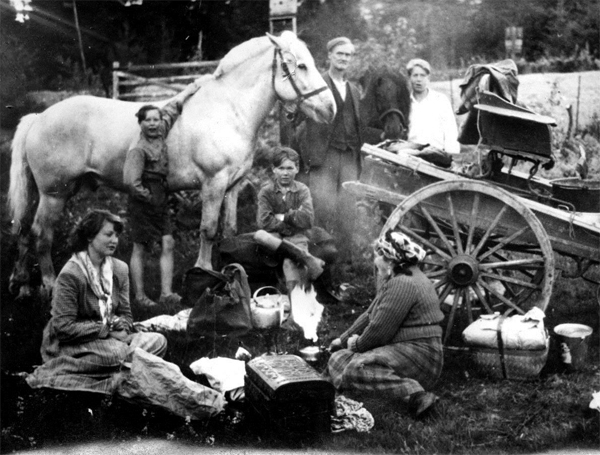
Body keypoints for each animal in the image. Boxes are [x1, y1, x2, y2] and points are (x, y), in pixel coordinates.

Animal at [8, 31, 338, 296]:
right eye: (301, 65)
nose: (330, 109)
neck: (228, 111)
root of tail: (39, 117)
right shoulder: (213, 184)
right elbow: (208, 230)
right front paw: (204, 271)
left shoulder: (232, 187)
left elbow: (228, 230)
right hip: (54, 194)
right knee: (40, 235)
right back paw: (48, 284)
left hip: (48, 192)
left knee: (23, 230)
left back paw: (22, 284)